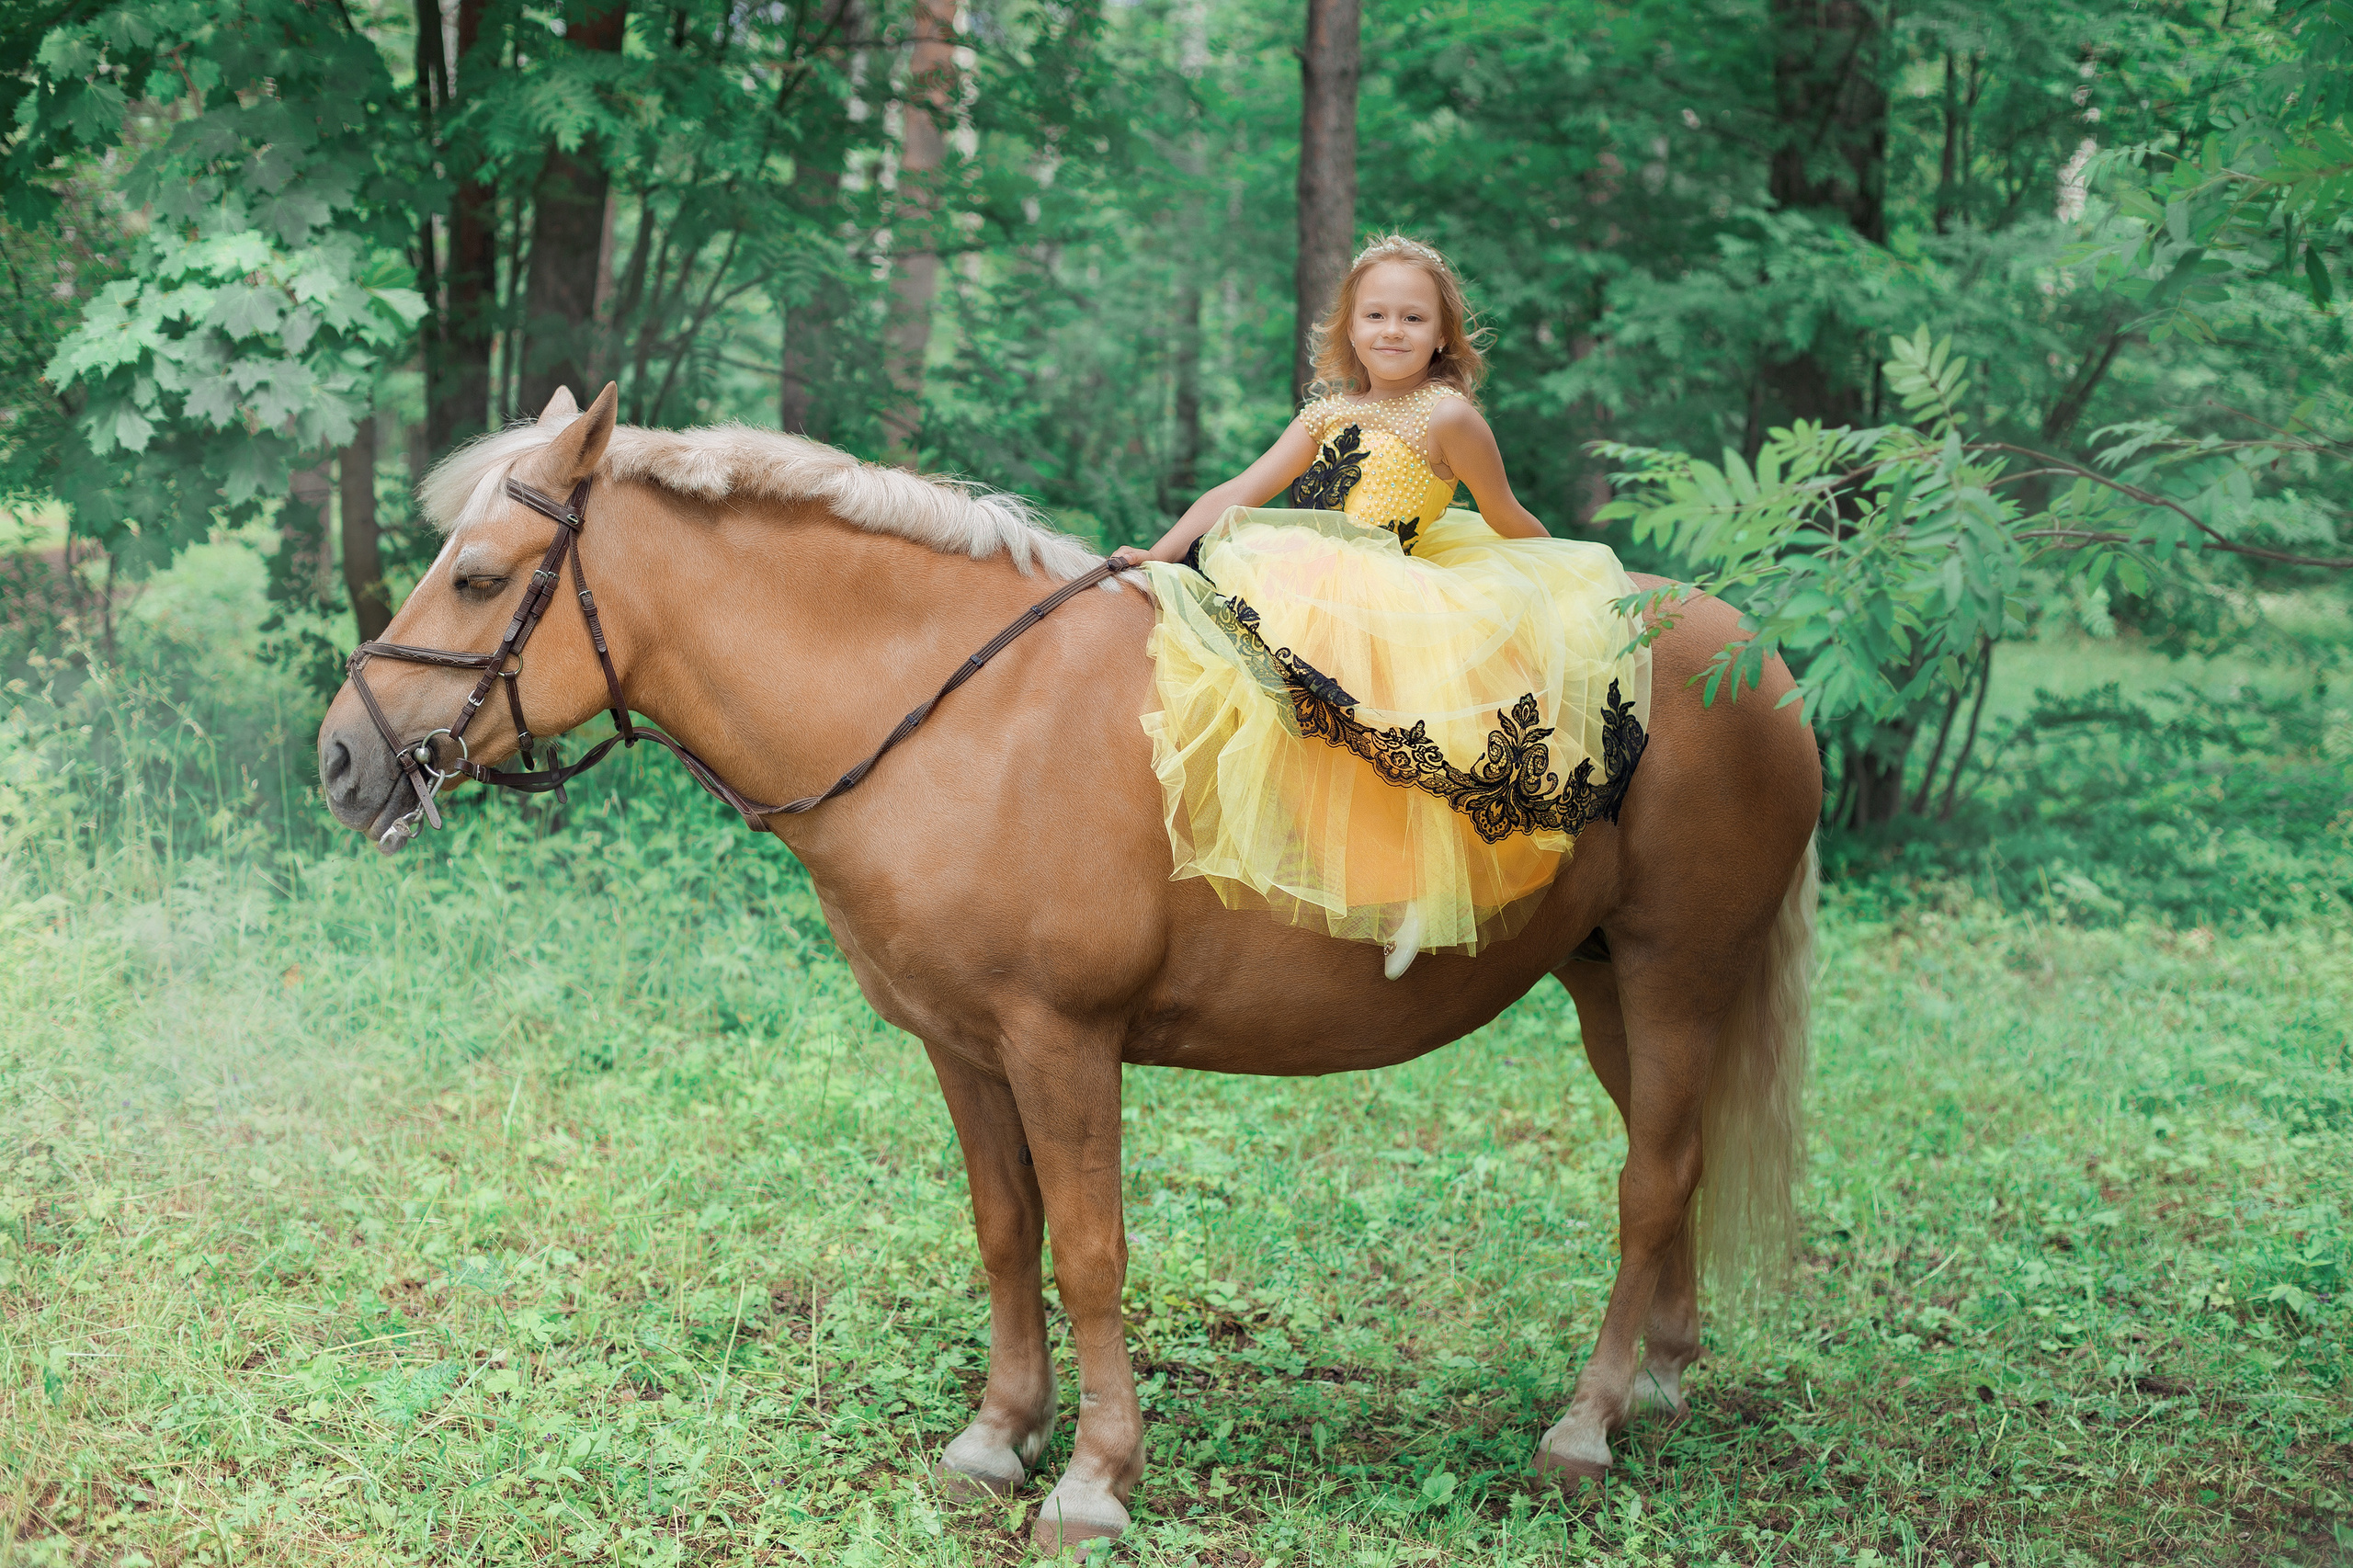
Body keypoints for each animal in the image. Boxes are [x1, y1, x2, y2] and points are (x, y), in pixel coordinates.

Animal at [317, 385, 1822, 1554]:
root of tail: (1752, 659)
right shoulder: (962, 1043)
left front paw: (1096, 1475)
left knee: (1649, 1183)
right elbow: (1007, 1229)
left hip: (1676, 975)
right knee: (1672, 1158)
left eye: (477, 574)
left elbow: (1092, 1249)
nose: (341, 756)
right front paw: (1001, 1434)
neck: (962, 712)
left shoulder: (1063, 1040)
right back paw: (1658, 1379)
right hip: (1609, 984)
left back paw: (1585, 1423)